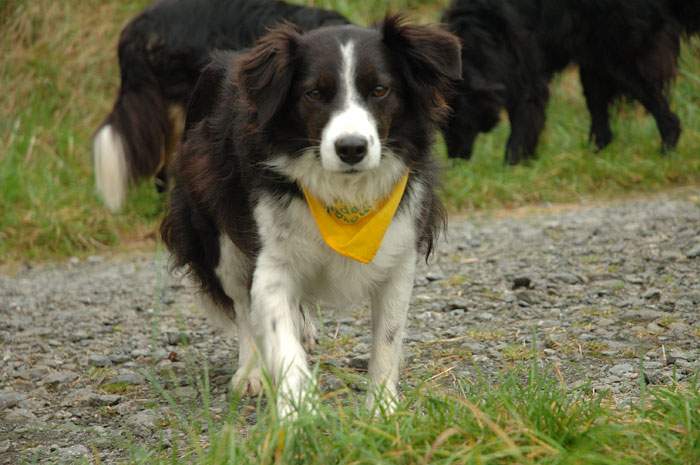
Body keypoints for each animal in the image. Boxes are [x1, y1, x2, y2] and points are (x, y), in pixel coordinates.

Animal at [161, 17, 462, 414]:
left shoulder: (398, 251)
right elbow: (275, 329)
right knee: (242, 304)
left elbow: (388, 337)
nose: (351, 148)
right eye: (314, 93)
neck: (343, 195)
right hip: (215, 228)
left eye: (380, 90)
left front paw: (382, 409)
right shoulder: (271, 257)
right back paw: (252, 370)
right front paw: (298, 410)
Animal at [446, 0, 696, 163]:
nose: (454, 159)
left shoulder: (525, 70)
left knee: (660, 109)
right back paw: (591, 156)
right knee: (600, 117)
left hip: (620, 56)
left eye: (460, 121)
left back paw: (666, 150)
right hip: (595, 61)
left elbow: (524, 118)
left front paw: (512, 164)